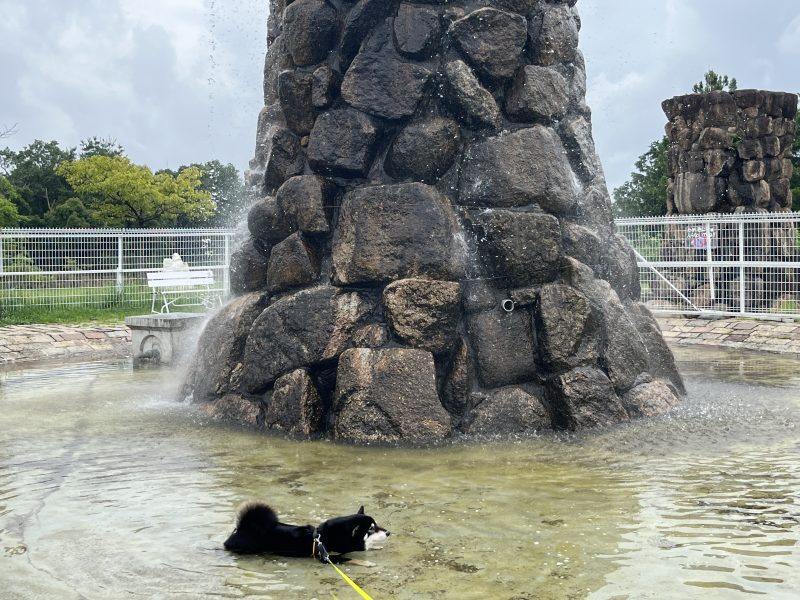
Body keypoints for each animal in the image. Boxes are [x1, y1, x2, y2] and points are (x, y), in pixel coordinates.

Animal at [223, 502, 390, 564]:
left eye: (377, 525)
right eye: (371, 529)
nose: (388, 532)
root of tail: (243, 527)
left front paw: (377, 547)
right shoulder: (328, 557)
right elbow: (350, 559)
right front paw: (367, 563)